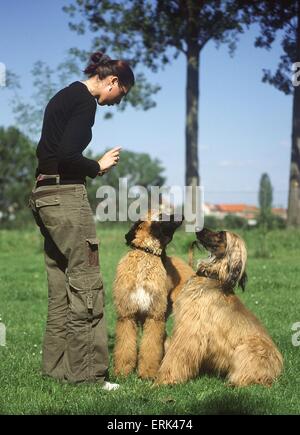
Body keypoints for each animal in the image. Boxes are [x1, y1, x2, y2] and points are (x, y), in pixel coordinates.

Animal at [112, 213, 195, 380]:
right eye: (161, 216)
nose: (182, 215)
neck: (145, 254)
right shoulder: (127, 315)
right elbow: (124, 346)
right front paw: (122, 372)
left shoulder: (154, 316)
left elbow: (150, 348)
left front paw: (148, 373)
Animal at [155, 228, 284, 388]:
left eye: (221, 234)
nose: (198, 230)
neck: (212, 276)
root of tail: (277, 370)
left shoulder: (191, 328)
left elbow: (176, 354)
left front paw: (165, 379)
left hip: (248, 350)